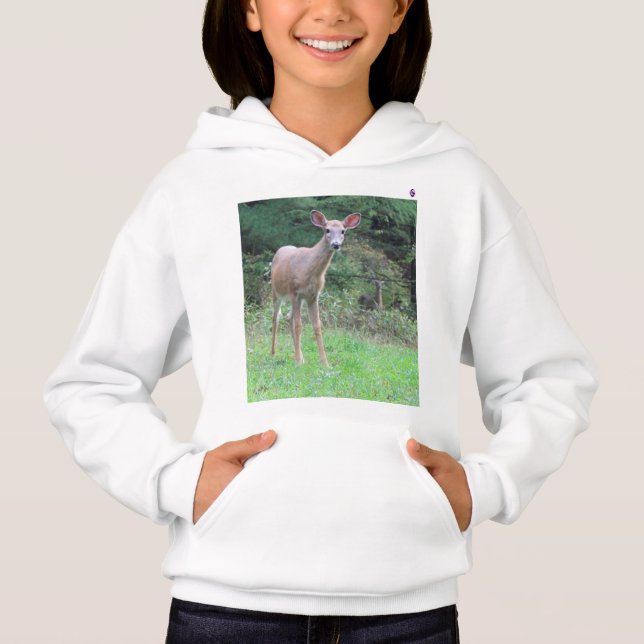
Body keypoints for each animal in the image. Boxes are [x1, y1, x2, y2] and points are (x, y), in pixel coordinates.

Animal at [270, 209, 361, 367]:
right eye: (327, 230)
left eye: (343, 231)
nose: (336, 244)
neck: (309, 270)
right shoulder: (295, 292)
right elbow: (299, 325)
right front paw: (298, 362)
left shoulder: (313, 296)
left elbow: (317, 326)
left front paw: (325, 362)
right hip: (277, 292)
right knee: (276, 317)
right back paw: (273, 353)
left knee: (288, 318)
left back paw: (300, 356)